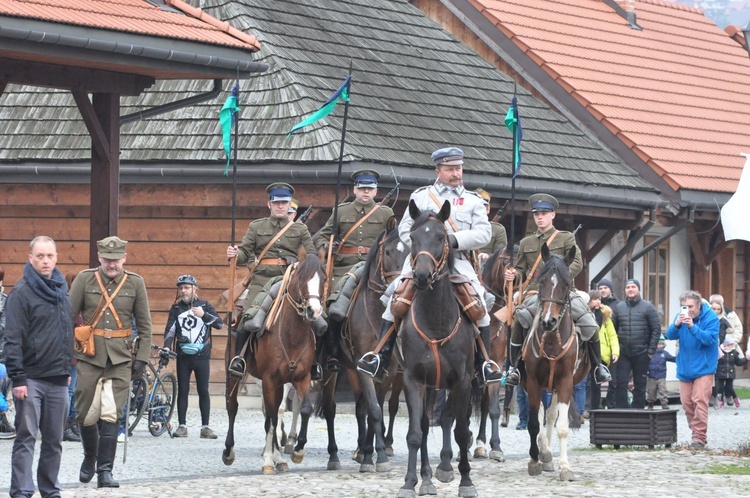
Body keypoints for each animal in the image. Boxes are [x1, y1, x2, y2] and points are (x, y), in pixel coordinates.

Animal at [225, 253, 328, 474]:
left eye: (323, 279)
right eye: (301, 279)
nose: (314, 310)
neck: (292, 335)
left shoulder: (301, 378)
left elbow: (303, 408)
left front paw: (296, 451)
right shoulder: (270, 380)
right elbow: (271, 419)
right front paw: (267, 460)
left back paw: (279, 455)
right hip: (237, 374)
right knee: (233, 407)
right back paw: (229, 451)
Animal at [318, 216, 412, 472]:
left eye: (410, 252)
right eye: (388, 251)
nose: (399, 287)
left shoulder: (386, 371)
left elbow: (373, 410)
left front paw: (371, 453)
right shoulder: (364, 367)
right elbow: (375, 411)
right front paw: (376, 457)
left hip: (352, 371)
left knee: (360, 408)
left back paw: (361, 450)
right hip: (334, 371)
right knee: (330, 409)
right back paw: (333, 456)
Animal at [396, 199, 478, 498]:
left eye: (442, 237)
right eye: (412, 237)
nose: (421, 276)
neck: (436, 322)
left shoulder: (462, 381)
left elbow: (461, 431)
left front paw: (466, 481)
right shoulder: (413, 380)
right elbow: (414, 434)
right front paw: (410, 482)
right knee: (423, 425)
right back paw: (427, 478)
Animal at [520, 243, 592, 480]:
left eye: (567, 283)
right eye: (542, 281)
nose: (548, 321)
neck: (551, 340)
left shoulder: (566, 382)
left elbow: (561, 426)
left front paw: (565, 467)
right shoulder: (532, 381)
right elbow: (534, 423)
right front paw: (534, 460)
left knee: (551, 415)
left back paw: (548, 455)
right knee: (542, 413)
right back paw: (543, 453)